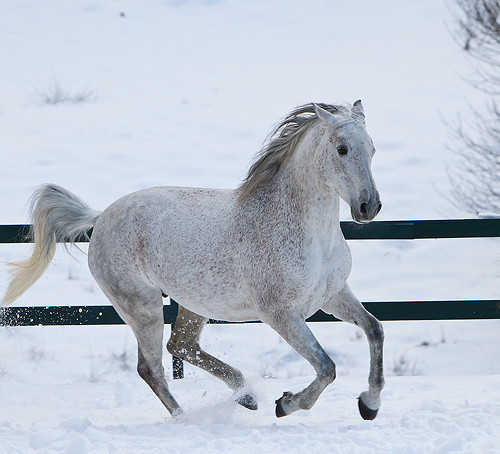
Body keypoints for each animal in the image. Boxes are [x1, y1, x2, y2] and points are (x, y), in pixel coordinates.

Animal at [2, 101, 382, 420]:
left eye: (373, 148)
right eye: (342, 148)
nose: (369, 206)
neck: (311, 234)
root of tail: (101, 217)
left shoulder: (333, 295)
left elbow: (374, 329)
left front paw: (370, 404)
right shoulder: (280, 314)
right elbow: (327, 367)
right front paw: (287, 404)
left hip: (193, 302)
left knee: (181, 345)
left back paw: (245, 396)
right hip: (143, 307)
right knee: (151, 367)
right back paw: (186, 419)